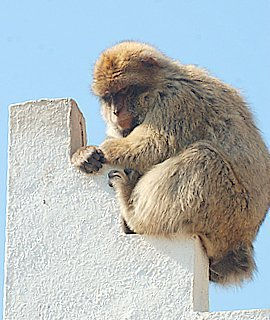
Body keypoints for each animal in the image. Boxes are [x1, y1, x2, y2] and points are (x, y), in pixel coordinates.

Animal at [71, 40, 270, 284]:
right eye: (108, 97)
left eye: (124, 91)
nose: (116, 112)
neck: (161, 83)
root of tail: (240, 243)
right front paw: (85, 153)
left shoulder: (176, 99)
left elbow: (153, 147)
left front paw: (100, 149)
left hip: (228, 211)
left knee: (204, 157)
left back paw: (133, 212)